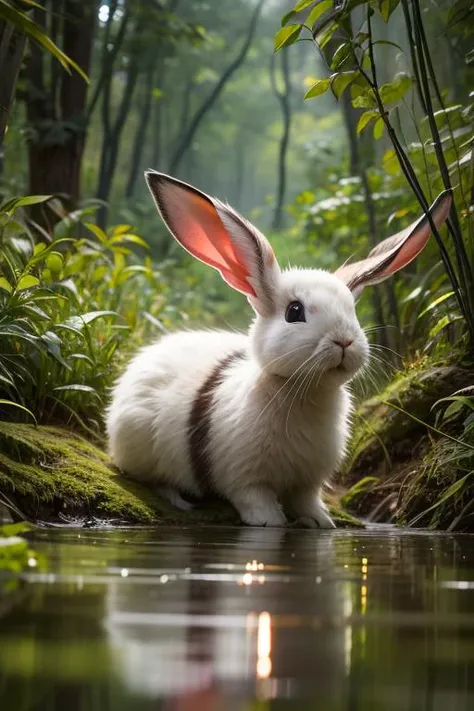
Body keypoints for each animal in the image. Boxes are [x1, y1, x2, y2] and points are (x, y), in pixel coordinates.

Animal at [107, 172, 452, 528]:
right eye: (294, 312)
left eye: (352, 310)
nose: (344, 341)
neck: (306, 391)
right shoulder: (246, 479)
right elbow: (256, 501)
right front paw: (269, 522)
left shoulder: (308, 482)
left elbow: (307, 501)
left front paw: (321, 523)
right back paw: (178, 498)